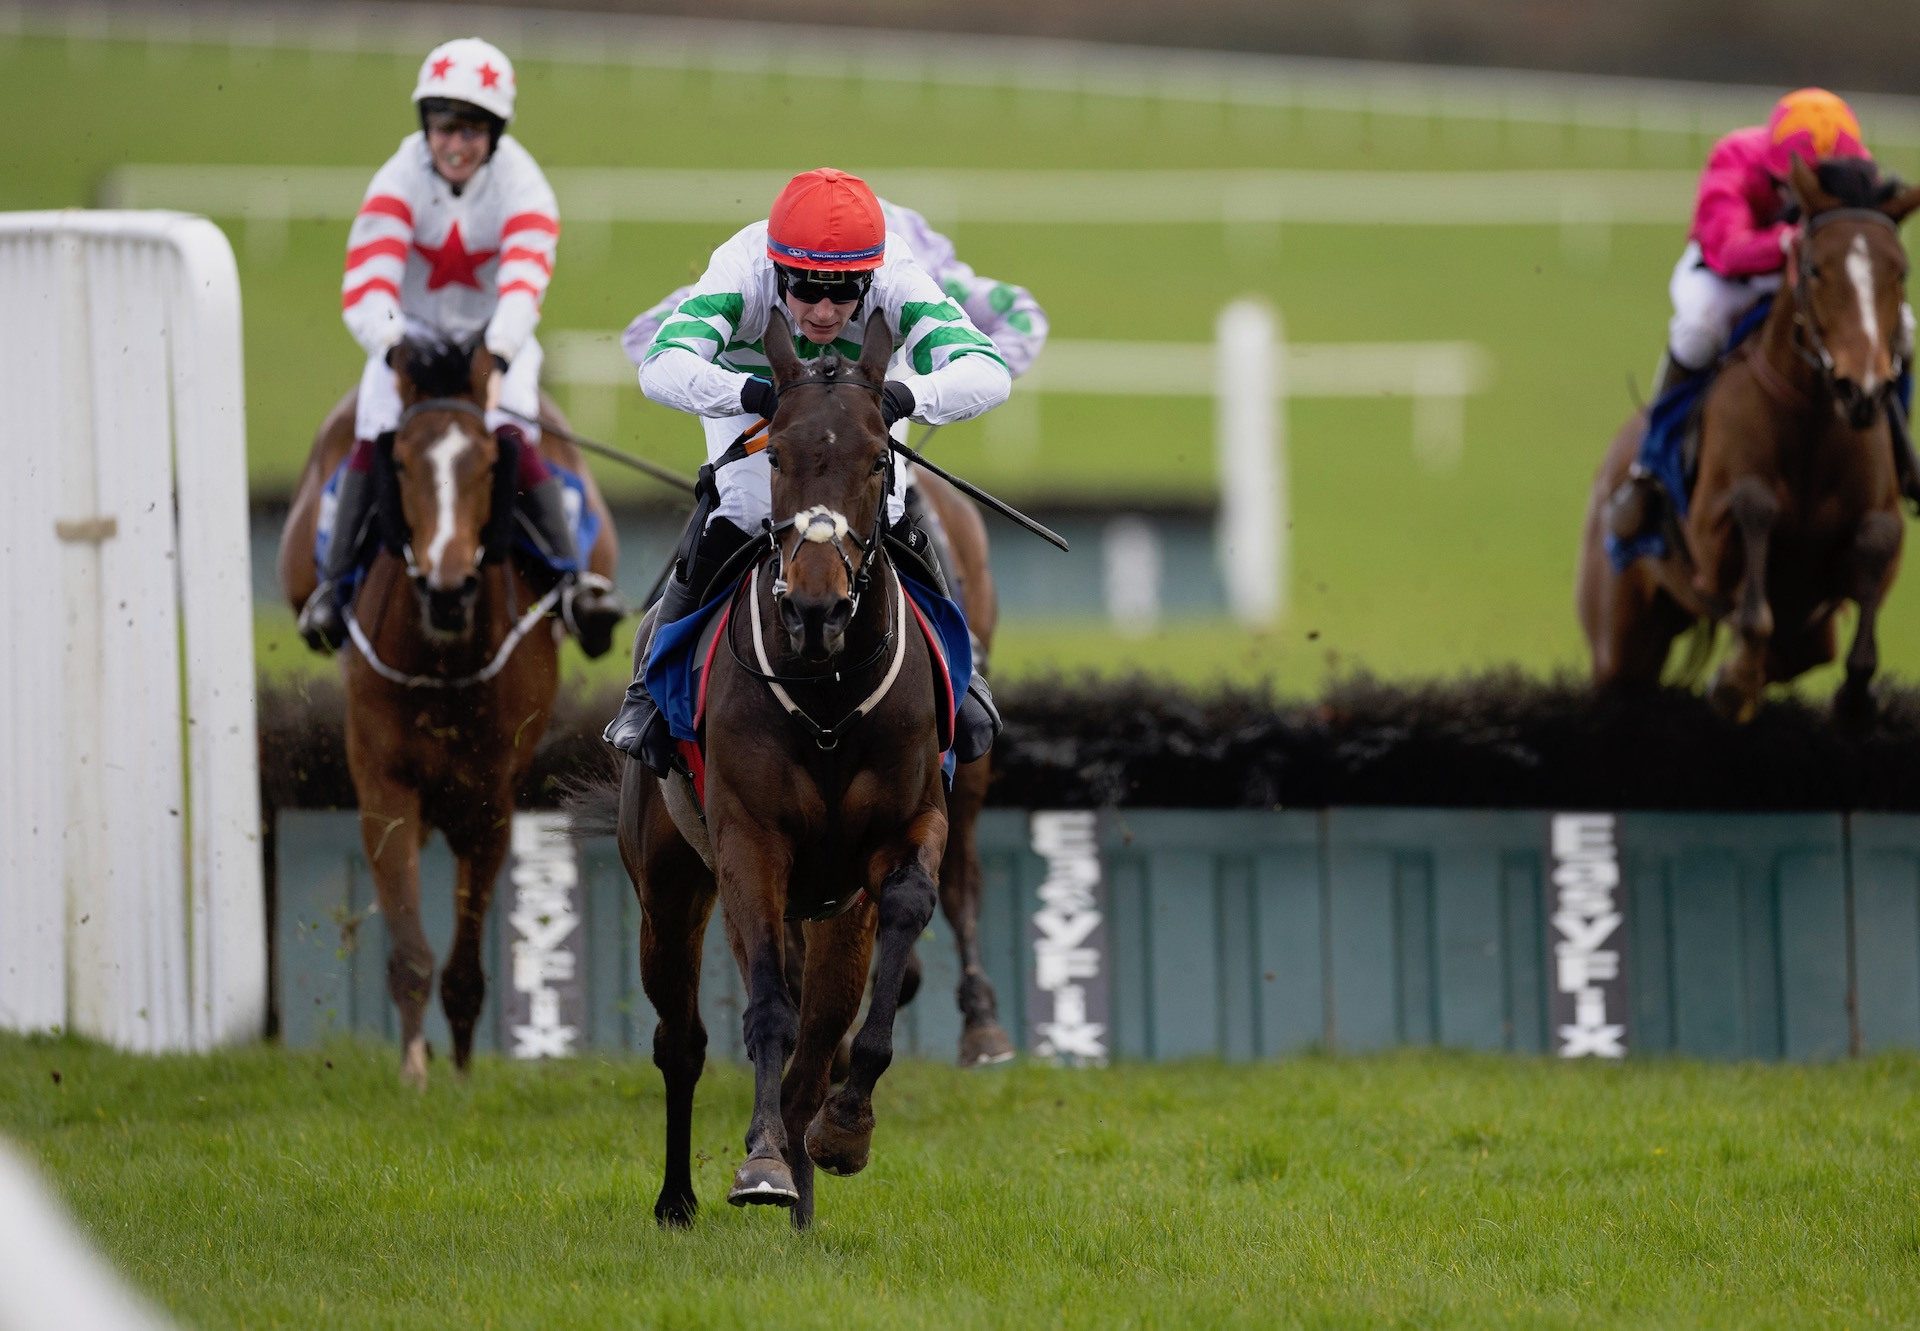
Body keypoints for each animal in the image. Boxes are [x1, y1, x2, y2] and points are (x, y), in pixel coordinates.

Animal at [276, 338, 560, 1083]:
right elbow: (408, 948)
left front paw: (459, 1071)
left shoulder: (490, 803)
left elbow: (465, 961)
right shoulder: (385, 787)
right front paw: (415, 1069)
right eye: (400, 462)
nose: (448, 588)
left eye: (487, 463)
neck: (444, 670)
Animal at [618, 311, 948, 1221]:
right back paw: (677, 1199)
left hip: (831, 912)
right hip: (669, 887)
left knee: (814, 1045)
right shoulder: (750, 839)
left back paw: (804, 1193)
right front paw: (760, 1161)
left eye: (877, 458)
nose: (814, 606)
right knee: (682, 1041)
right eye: (776, 458)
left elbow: (901, 916)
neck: (828, 697)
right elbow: (766, 1006)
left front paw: (845, 1129)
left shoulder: (908, 826)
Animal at [1574, 161, 1920, 733]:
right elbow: (1754, 506)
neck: (1812, 418)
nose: (1862, 389)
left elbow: (1878, 539)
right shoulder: (1708, 538)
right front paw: (1734, 682)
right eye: (1815, 269)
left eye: (1900, 272)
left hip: (1808, 632)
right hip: (1619, 634)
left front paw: (1854, 699)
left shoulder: (1872, 526)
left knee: (1798, 651)